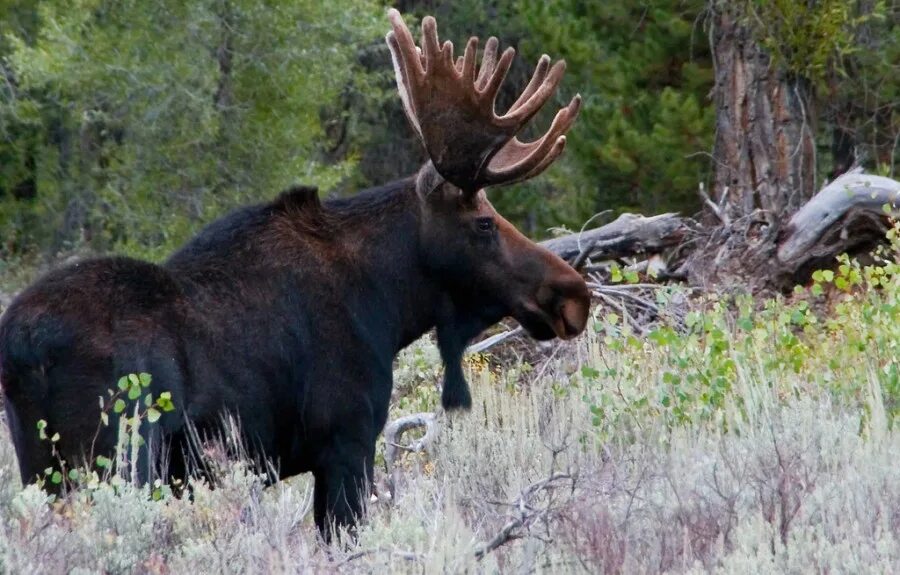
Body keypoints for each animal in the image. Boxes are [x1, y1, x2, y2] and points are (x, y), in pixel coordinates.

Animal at [0, 10, 592, 540]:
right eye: (484, 223)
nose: (573, 295)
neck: (388, 308)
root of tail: (21, 345)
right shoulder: (346, 443)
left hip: (43, 465)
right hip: (113, 458)